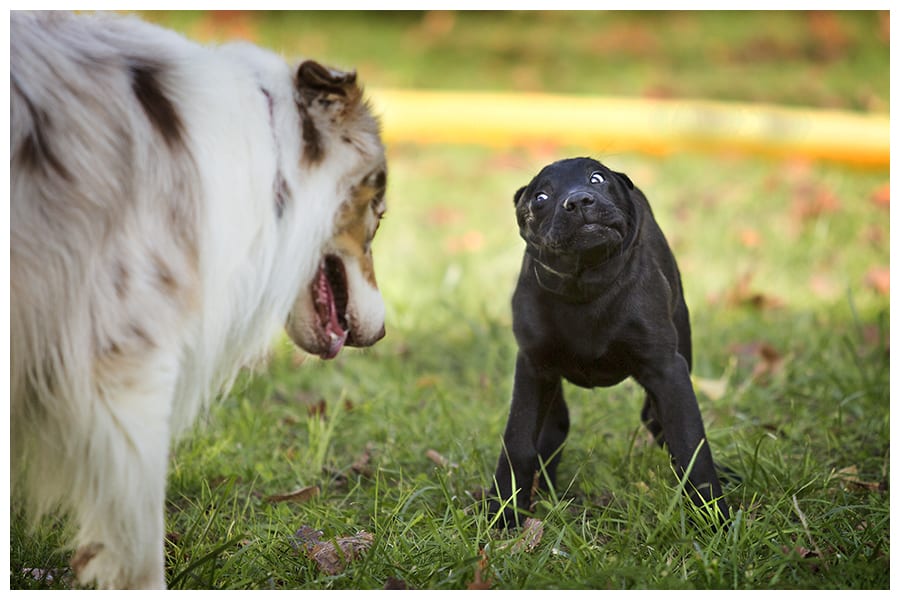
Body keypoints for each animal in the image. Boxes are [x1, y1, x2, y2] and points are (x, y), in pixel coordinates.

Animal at [488, 158, 728, 524]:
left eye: (596, 178)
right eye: (541, 198)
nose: (578, 201)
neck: (585, 284)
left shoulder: (667, 369)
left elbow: (691, 444)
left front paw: (715, 518)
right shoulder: (533, 366)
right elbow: (518, 442)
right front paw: (502, 513)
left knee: (655, 420)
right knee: (555, 426)